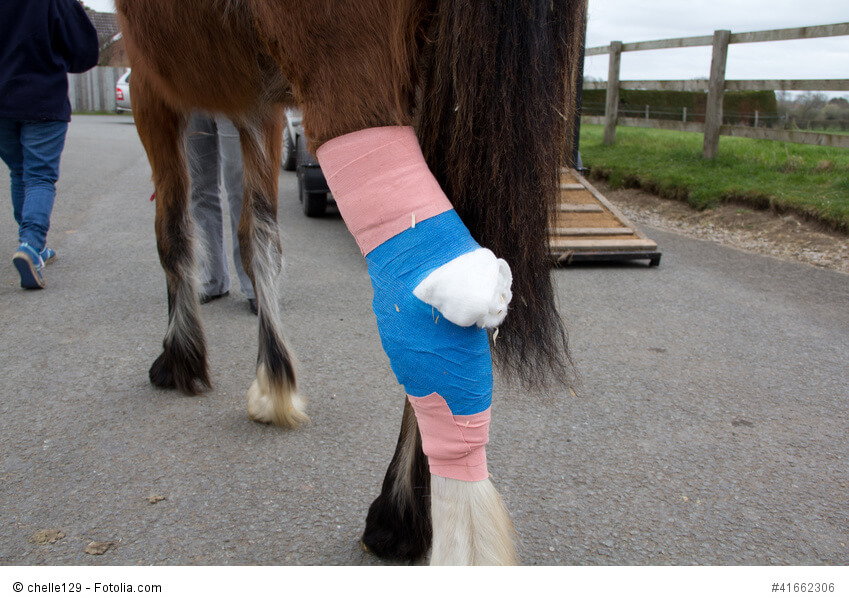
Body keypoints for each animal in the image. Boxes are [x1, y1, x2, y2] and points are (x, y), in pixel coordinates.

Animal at [115, 0, 585, 565]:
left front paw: (182, 357)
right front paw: (273, 382)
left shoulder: (151, 87)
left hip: (348, 73)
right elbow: (259, 238)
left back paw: (442, 534)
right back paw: (405, 515)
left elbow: (173, 233)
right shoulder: (260, 106)